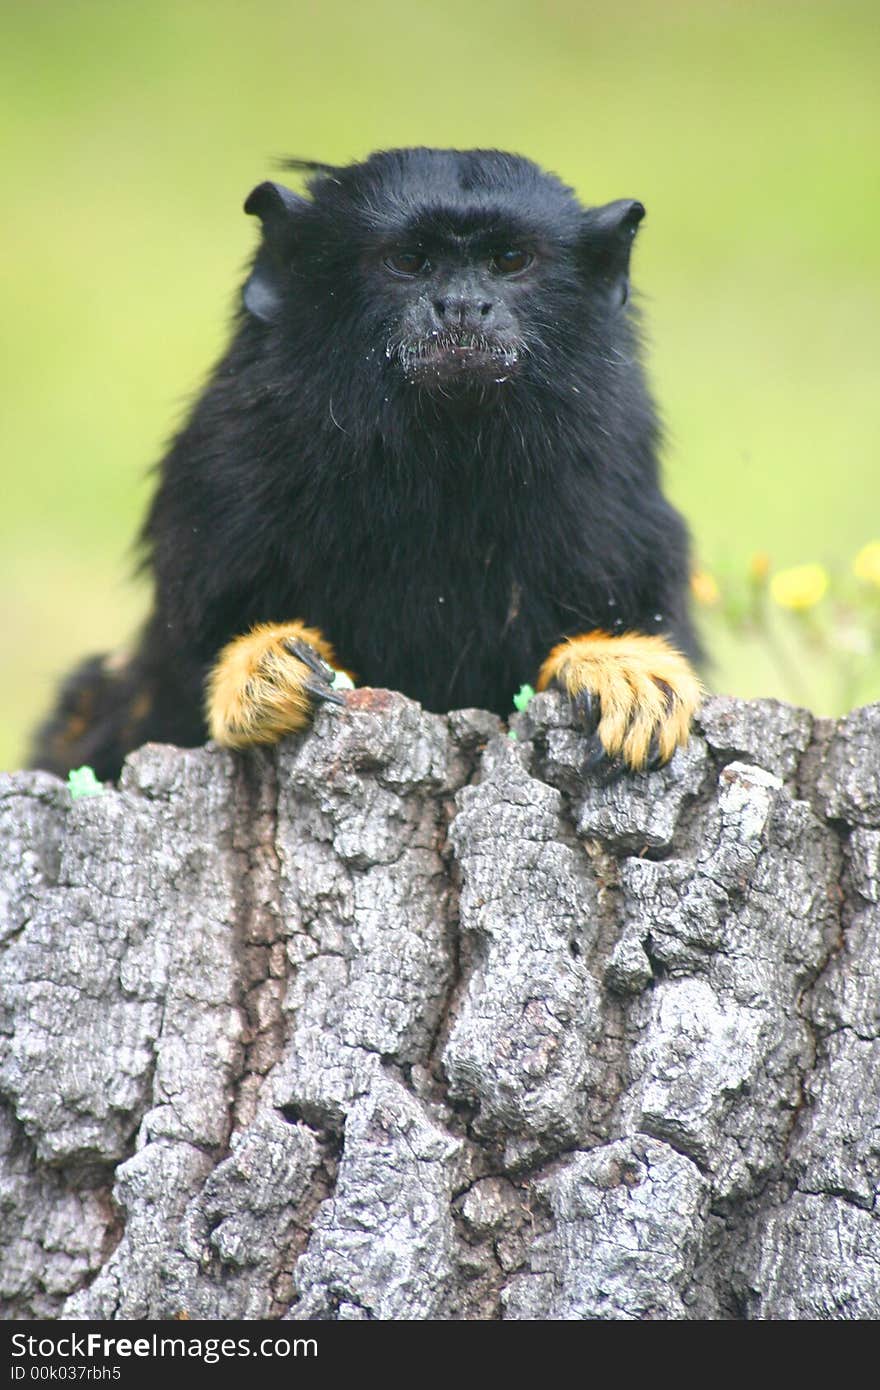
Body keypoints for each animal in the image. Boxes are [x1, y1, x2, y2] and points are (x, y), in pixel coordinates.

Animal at [30, 152, 700, 789]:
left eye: (510, 261)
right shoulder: (221, 472)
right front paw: (258, 668)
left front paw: (615, 663)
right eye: (409, 262)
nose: (462, 306)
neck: (442, 458)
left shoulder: (612, 483)